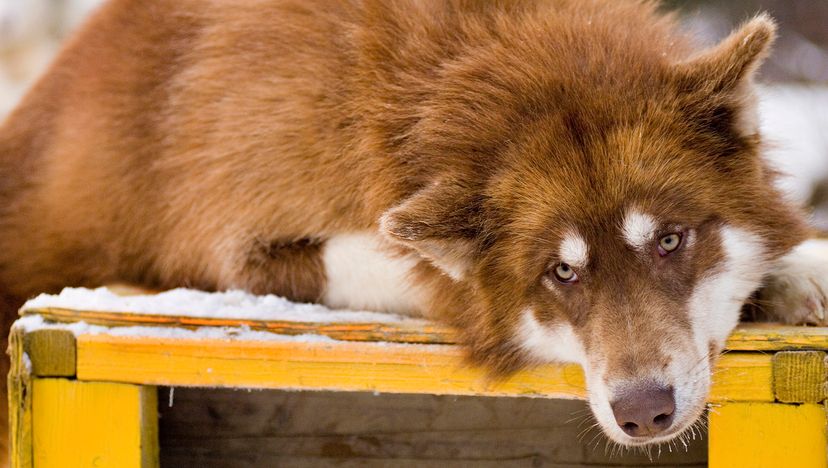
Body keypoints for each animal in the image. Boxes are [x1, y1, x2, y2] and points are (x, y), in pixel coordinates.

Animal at [1, 0, 828, 454]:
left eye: (669, 240)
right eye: (561, 272)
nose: (642, 412)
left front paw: (795, 271)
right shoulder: (233, 244)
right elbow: (421, 269)